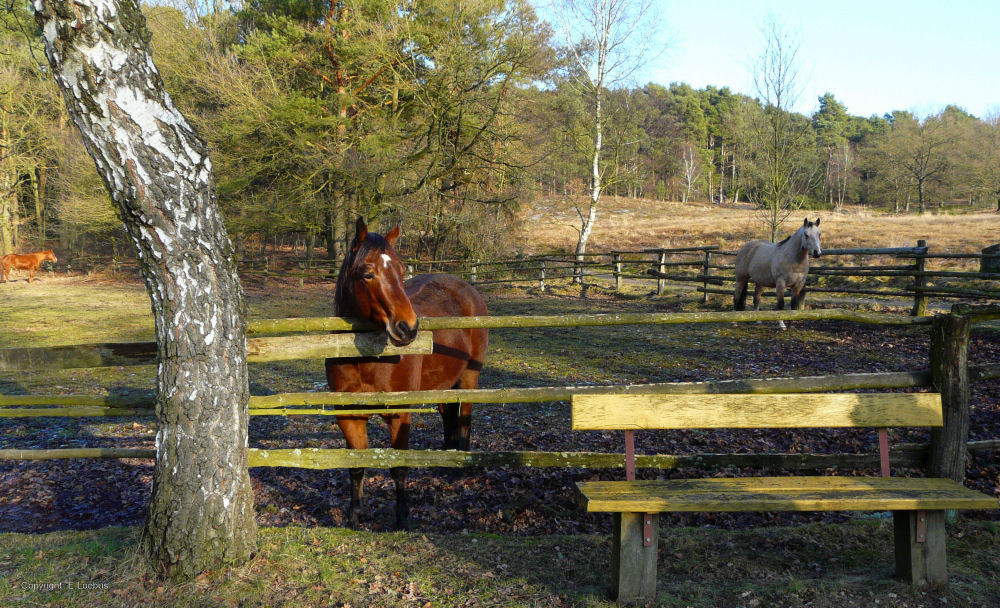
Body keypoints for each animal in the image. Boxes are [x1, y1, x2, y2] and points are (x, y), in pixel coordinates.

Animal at [326, 217, 486, 528]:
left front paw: (402, 516)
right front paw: (355, 516)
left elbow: (399, 468)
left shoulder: (399, 414)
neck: (368, 360)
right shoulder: (349, 416)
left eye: (401, 271)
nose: (408, 328)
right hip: (442, 385)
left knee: (464, 417)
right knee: (448, 415)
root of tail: (467, 288)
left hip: (469, 377)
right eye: (367, 274)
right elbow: (356, 467)